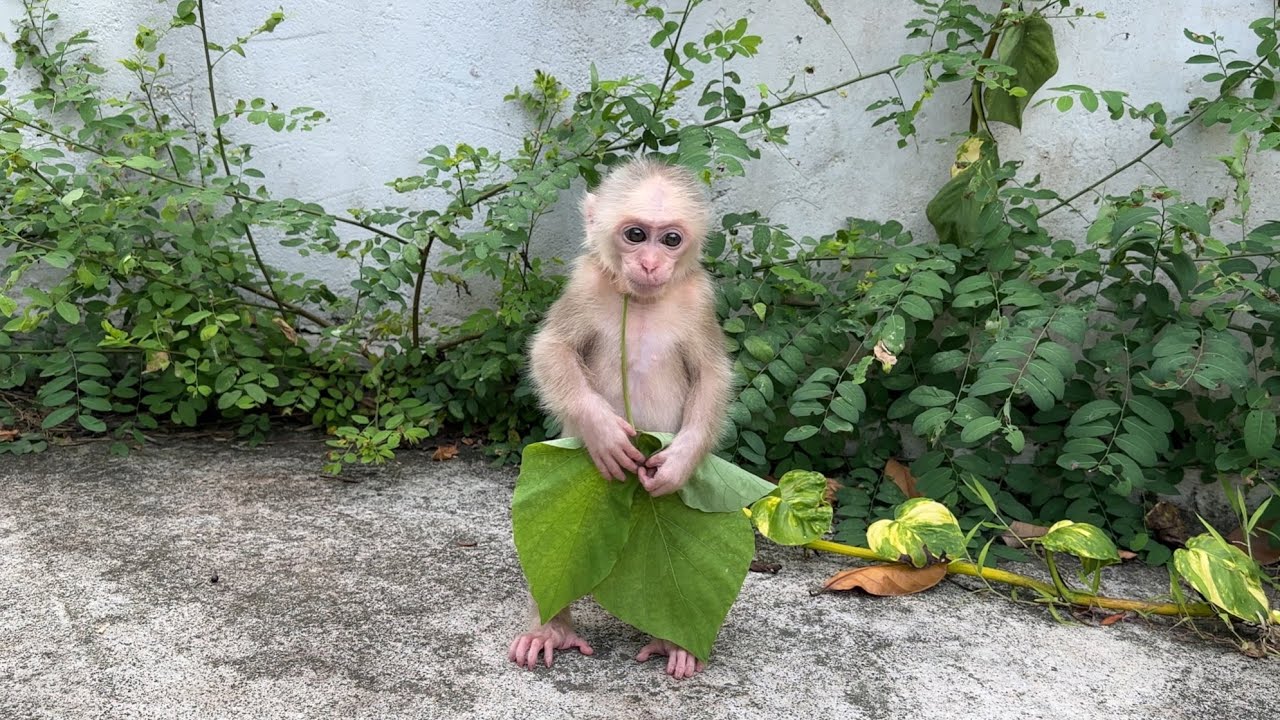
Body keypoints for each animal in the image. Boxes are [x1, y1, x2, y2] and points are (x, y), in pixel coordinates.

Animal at [508, 157, 732, 680]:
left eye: (670, 239)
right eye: (635, 234)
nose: (650, 263)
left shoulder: (700, 298)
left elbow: (712, 374)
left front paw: (679, 461)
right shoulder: (584, 283)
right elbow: (552, 351)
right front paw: (603, 431)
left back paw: (674, 642)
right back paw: (550, 627)